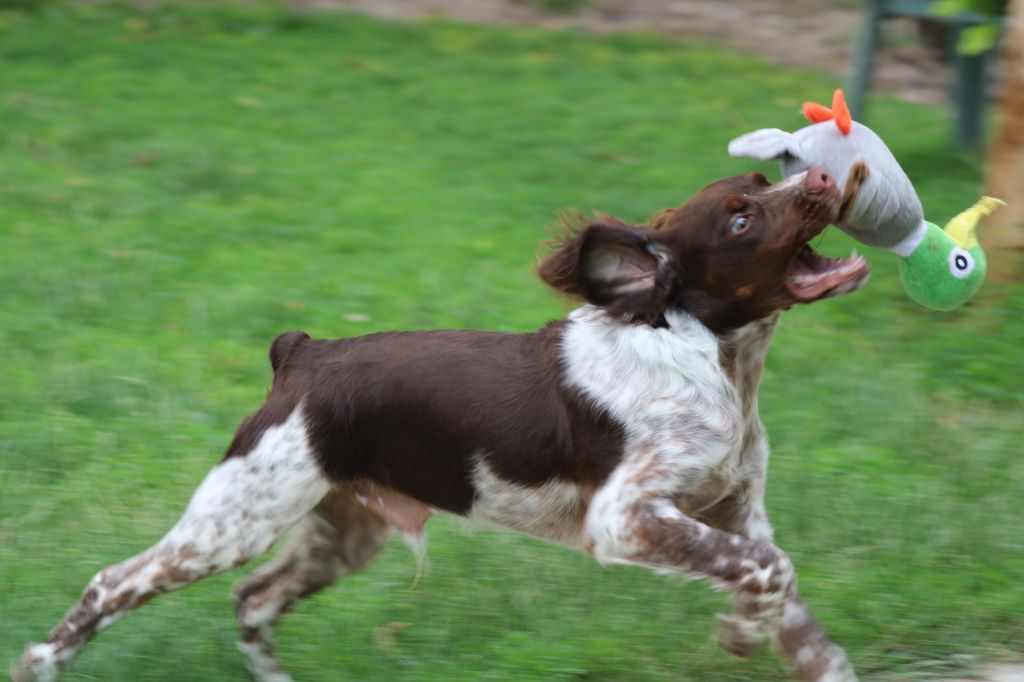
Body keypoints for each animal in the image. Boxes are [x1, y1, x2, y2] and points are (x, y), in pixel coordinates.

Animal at [14, 164, 864, 679]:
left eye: (770, 174)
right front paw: (738, 635)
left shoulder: (737, 512)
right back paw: (39, 663)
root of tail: (301, 353)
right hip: (235, 518)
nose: (828, 173)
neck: (710, 355)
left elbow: (793, 604)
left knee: (254, 599)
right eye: (742, 219)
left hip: (340, 531)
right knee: (113, 582)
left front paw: (766, 637)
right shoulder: (625, 517)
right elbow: (770, 573)